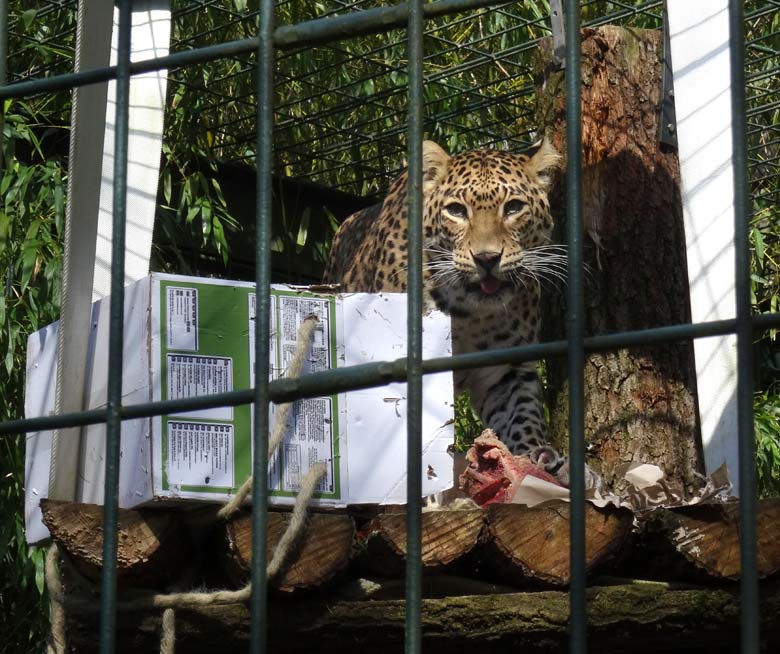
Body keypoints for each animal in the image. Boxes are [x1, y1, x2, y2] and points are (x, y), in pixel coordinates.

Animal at [322, 138, 592, 486]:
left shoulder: (506, 369)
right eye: (456, 211)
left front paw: (536, 455)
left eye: (514, 207)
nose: (487, 258)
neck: (469, 314)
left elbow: (523, 413)